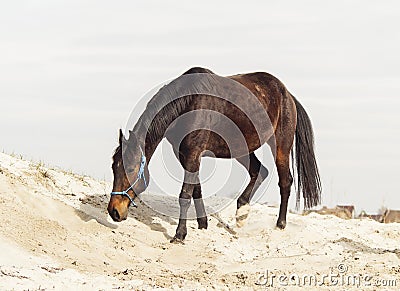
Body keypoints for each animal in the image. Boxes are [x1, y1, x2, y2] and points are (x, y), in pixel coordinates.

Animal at [107, 67, 322, 243]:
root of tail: (287, 94)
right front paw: (203, 224)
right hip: (240, 149)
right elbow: (196, 190)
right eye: (113, 168)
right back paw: (242, 213)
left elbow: (185, 194)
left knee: (285, 181)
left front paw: (180, 234)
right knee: (260, 171)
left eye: (131, 168)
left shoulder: (193, 153)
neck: (188, 103)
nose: (114, 211)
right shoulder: (185, 155)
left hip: (280, 146)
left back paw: (280, 225)